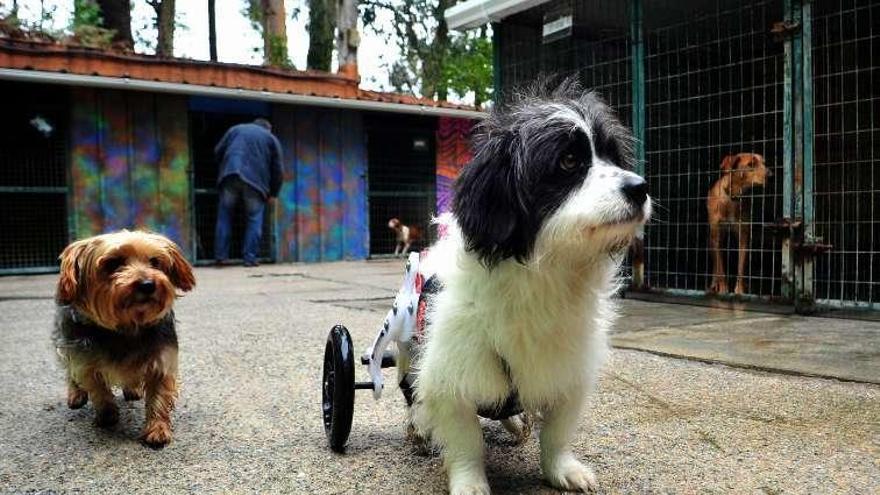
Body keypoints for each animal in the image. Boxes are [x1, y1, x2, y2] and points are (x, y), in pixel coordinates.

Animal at [54, 232, 195, 450]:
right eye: (113, 263)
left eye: (155, 262)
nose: (148, 284)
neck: (128, 326)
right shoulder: (86, 361)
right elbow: (98, 390)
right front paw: (107, 415)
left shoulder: (161, 360)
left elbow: (159, 396)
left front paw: (157, 429)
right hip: (68, 341)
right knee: (70, 370)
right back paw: (76, 394)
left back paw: (133, 389)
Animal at [410, 80, 648, 492]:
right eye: (568, 161)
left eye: (612, 156)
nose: (641, 187)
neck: (546, 276)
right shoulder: (450, 372)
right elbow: (464, 438)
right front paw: (469, 481)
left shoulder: (569, 371)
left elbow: (557, 431)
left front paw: (560, 468)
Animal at [708, 153, 768, 296]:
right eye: (750, 164)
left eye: (764, 163)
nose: (771, 174)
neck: (733, 198)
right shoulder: (717, 238)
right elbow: (720, 268)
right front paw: (723, 290)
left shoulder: (744, 237)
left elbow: (741, 267)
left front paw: (740, 291)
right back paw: (714, 284)